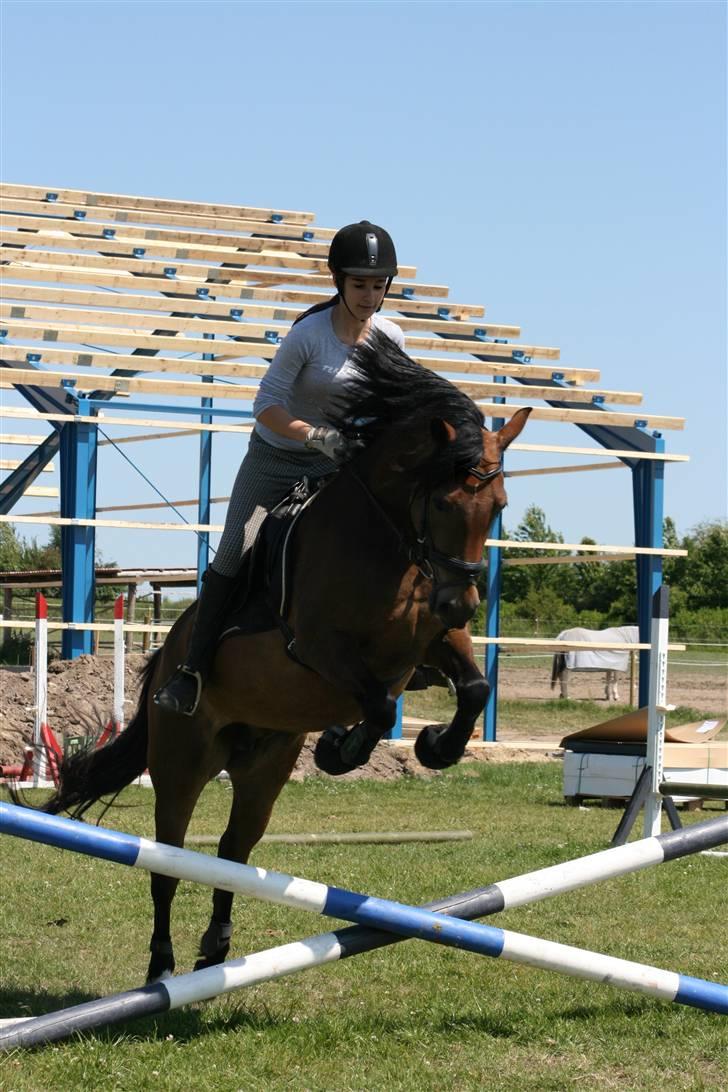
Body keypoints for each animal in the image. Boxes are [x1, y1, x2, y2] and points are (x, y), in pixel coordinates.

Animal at [37, 331, 532, 982]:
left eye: (498, 504)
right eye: (446, 504)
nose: (463, 601)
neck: (386, 541)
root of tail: (164, 666)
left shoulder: (433, 640)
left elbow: (473, 689)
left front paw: (434, 747)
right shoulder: (317, 647)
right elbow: (377, 708)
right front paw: (342, 749)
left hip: (263, 768)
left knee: (232, 851)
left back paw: (216, 944)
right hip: (180, 761)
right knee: (169, 860)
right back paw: (162, 966)